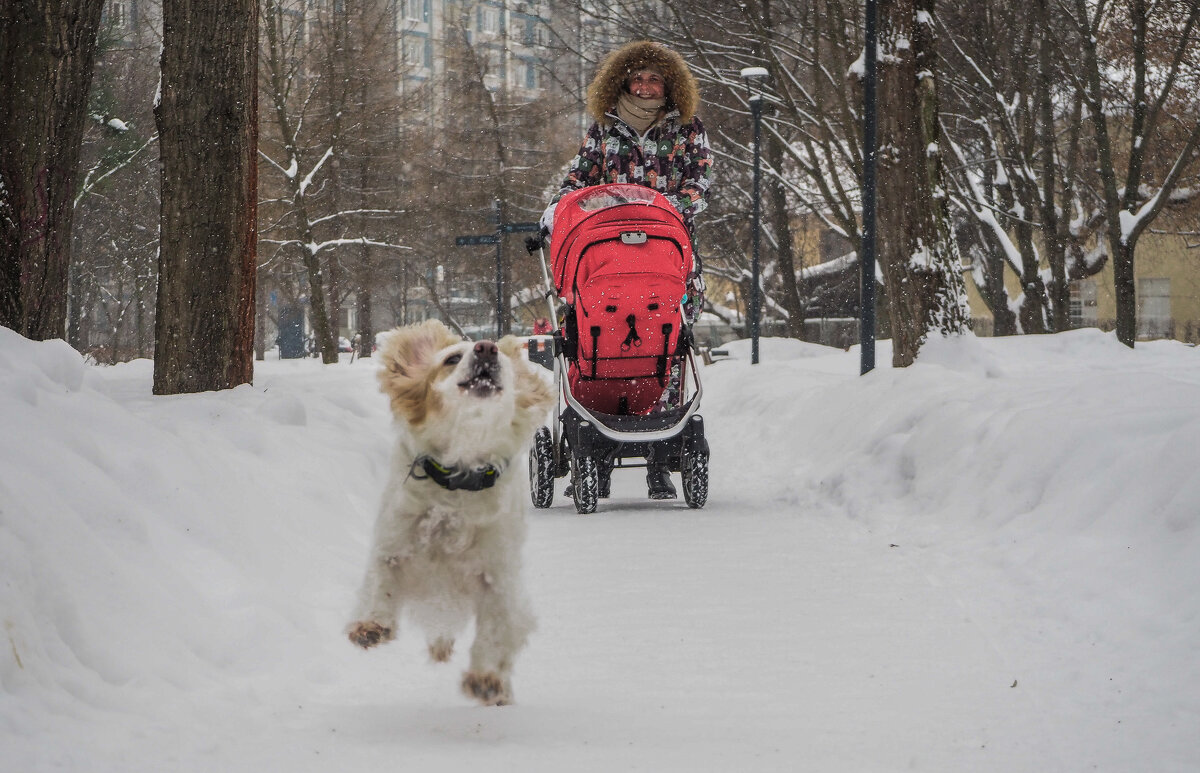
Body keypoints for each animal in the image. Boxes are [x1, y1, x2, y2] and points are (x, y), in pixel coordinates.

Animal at [345, 319, 554, 705]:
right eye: (451, 358)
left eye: (502, 359)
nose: (487, 348)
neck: (458, 480)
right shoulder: (392, 544)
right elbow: (380, 585)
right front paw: (371, 625)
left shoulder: (498, 578)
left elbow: (495, 629)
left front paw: (486, 678)